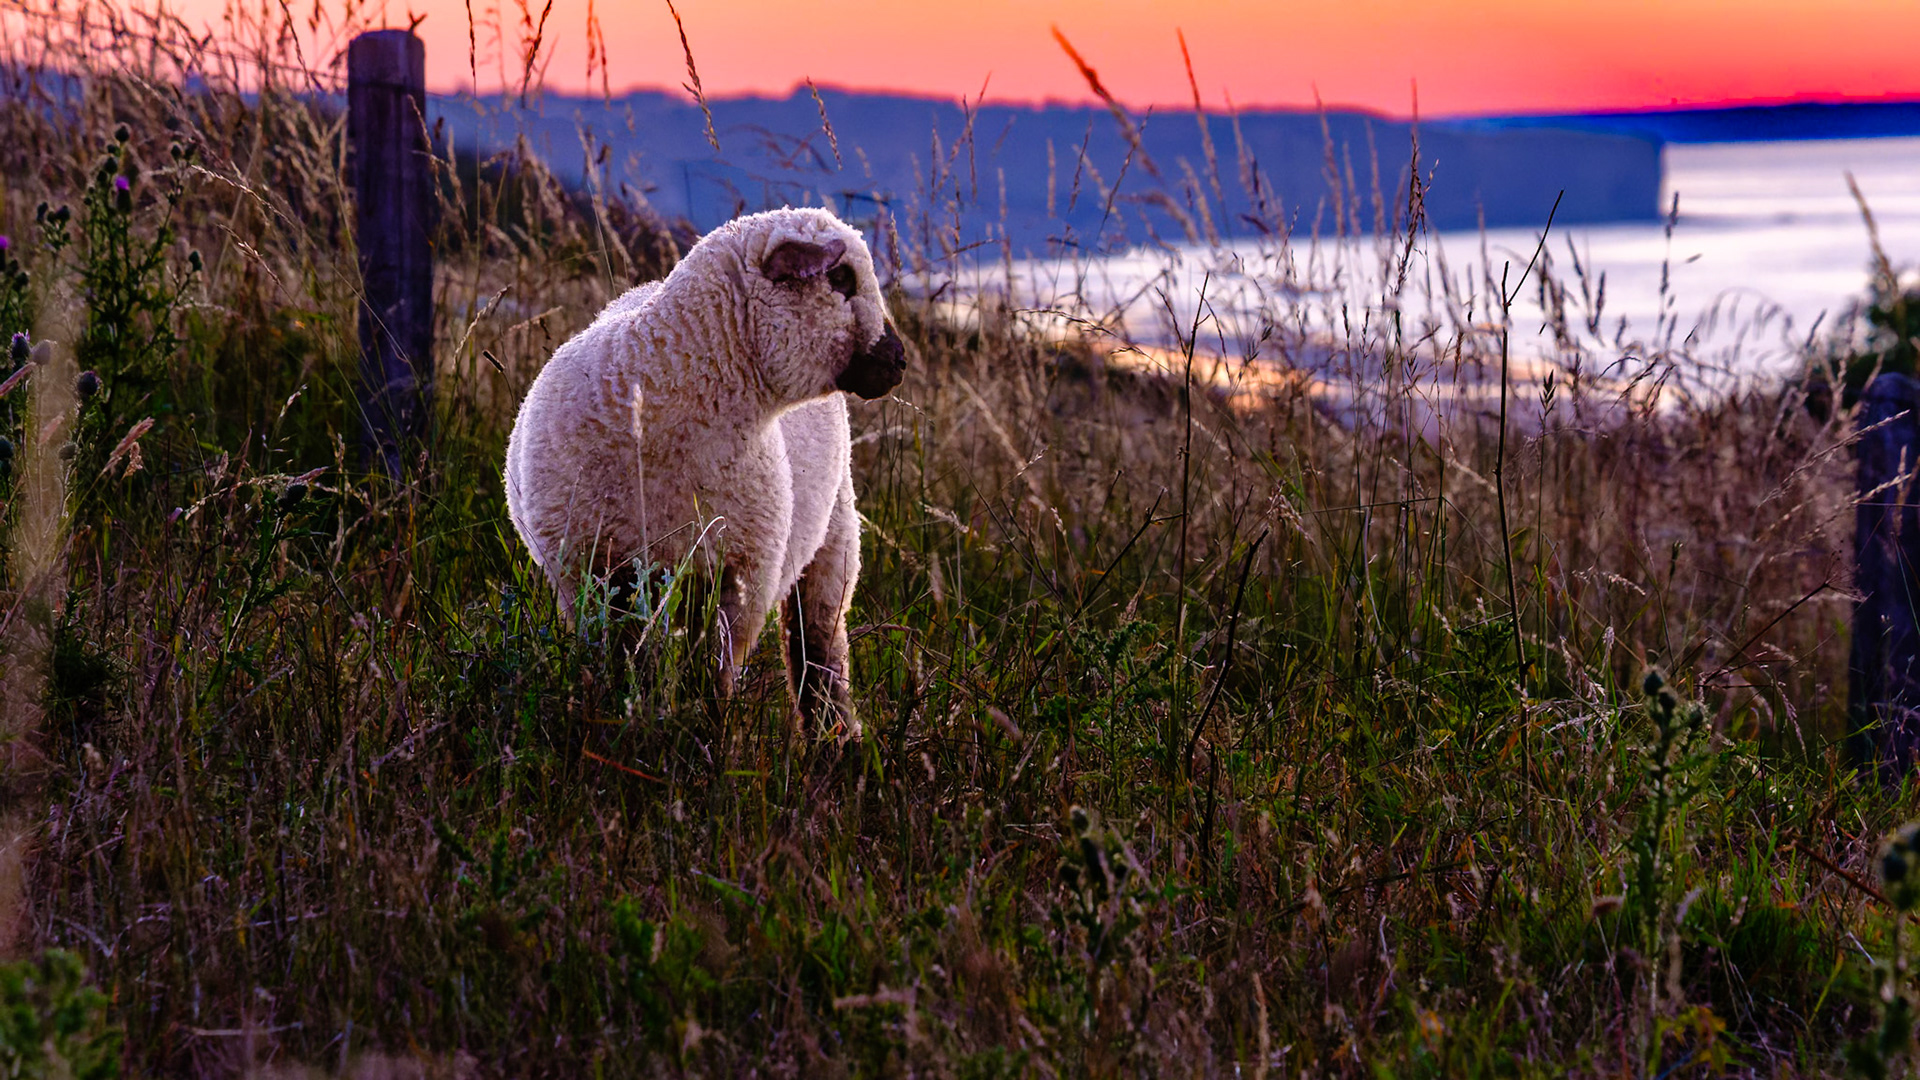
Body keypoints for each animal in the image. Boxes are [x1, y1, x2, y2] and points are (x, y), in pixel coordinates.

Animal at [503, 207, 905, 739]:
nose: (899, 361)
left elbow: (712, 676)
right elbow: (620, 661)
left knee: (818, 653)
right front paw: (622, 723)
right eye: (840, 278)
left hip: (833, 539)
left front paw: (706, 738)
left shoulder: (741, 574)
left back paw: (836, 738)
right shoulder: (587, 569)